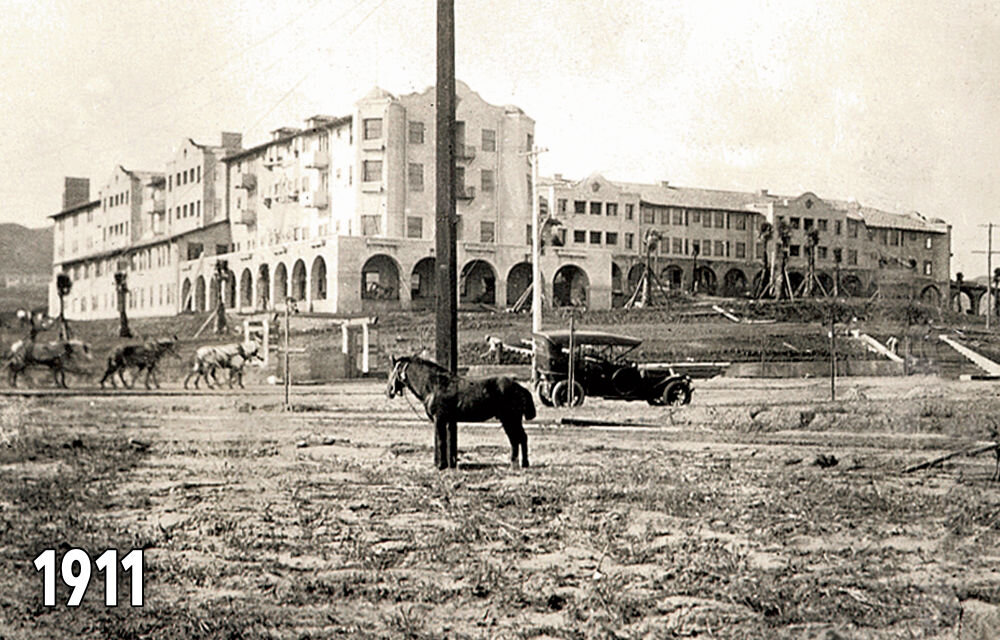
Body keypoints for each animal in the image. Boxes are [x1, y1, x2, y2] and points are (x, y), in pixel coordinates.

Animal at [386, 356, 536, 470]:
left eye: (392, 372)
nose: (388, 391)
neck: (434, 385)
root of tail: (519, 387)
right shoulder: (444, 421)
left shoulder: (439, 419)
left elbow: (441, 441)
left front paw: (441, 466)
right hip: (510, 421)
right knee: (519, 439)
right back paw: (520, 463)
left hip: (510, 420)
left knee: (518, 439)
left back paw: (518, 464)